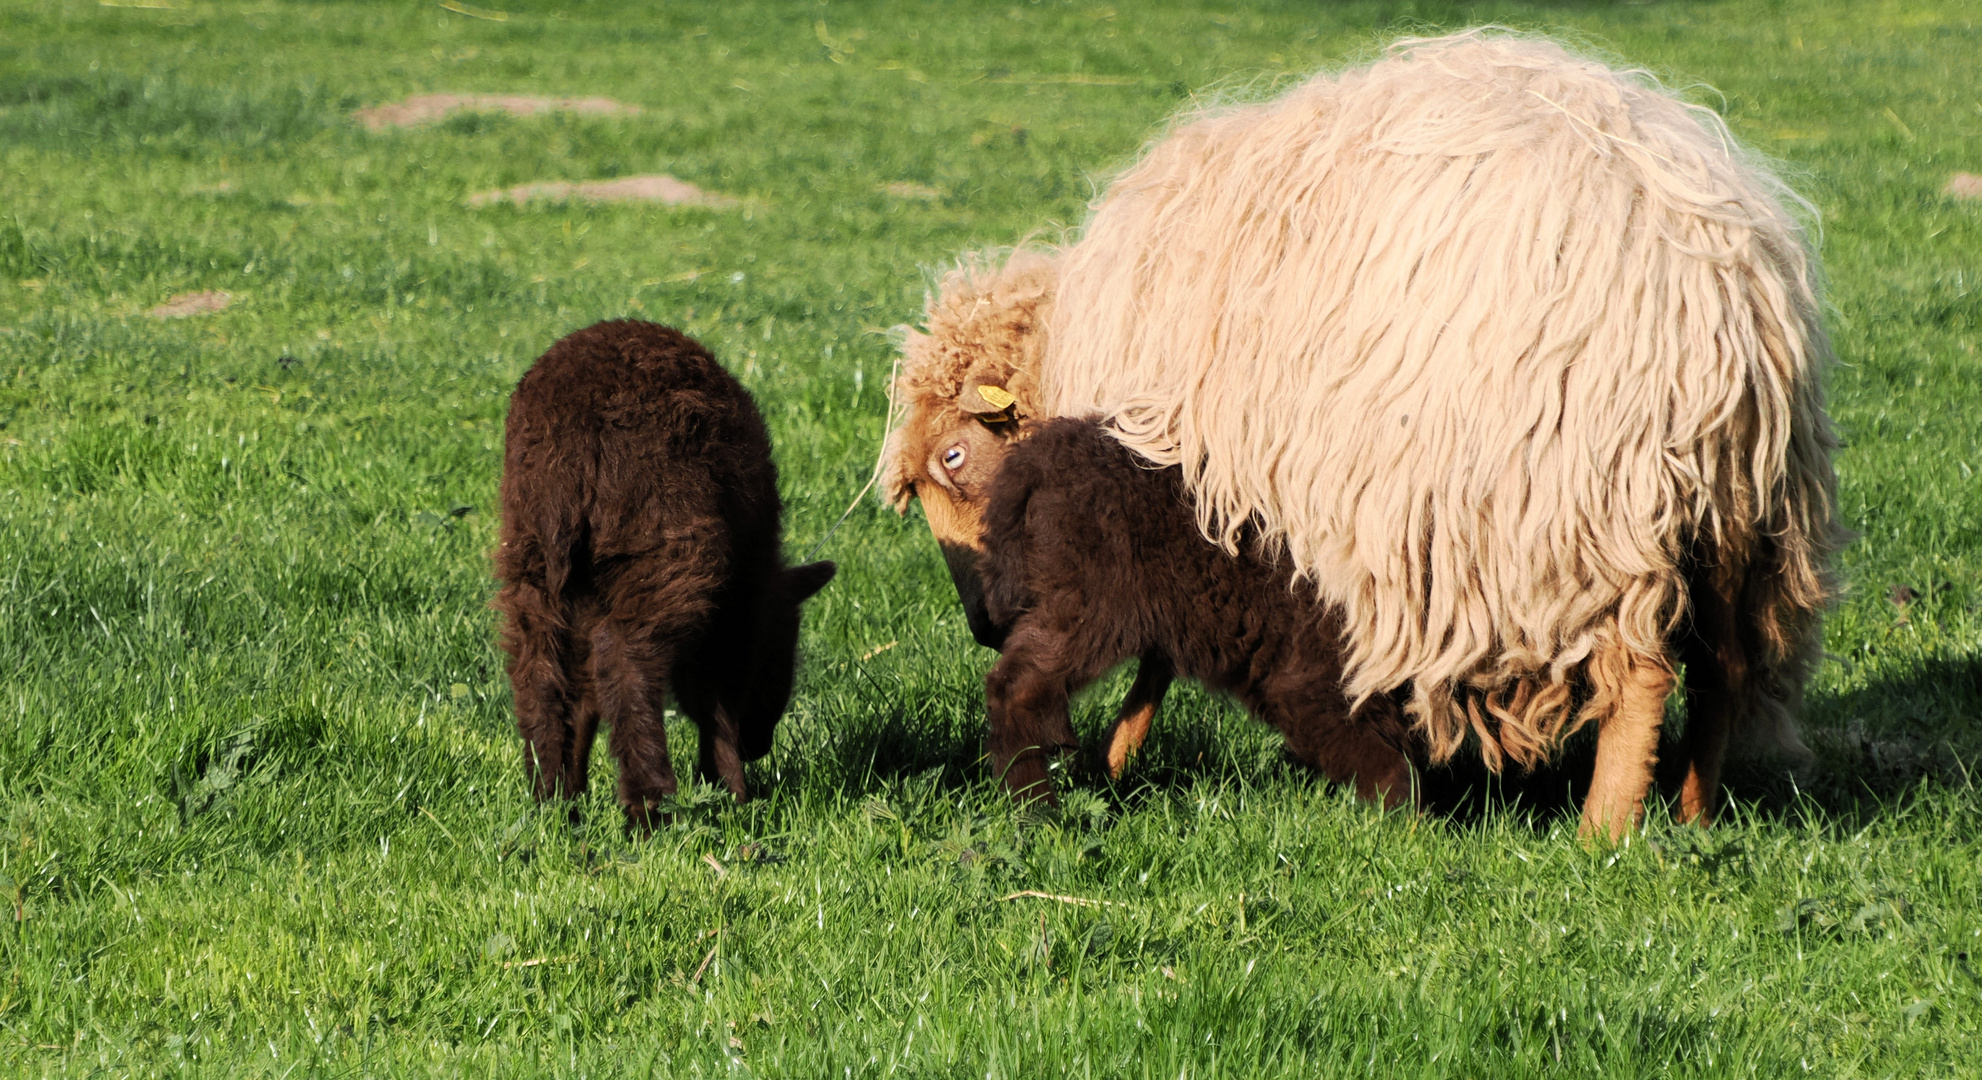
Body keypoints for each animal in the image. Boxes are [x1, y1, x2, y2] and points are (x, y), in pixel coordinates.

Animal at [499, 315, 840, 828]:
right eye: (782, 649)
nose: (759, 745)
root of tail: (574, 434)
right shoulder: (737, 601)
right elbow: (715, 690)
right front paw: (731, 791)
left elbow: (584, 691)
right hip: (665, 545)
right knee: (624, 659)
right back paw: (650, 807)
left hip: (530, 557)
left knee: (540, 670)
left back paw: (553, 799)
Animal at [975, 416, 1427, 804]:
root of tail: (1042, 456)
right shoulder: (1309, 681)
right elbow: (1382, 762)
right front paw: (1403, 820)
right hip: (1093, 608)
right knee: (1016, 686)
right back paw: (1036, 807)